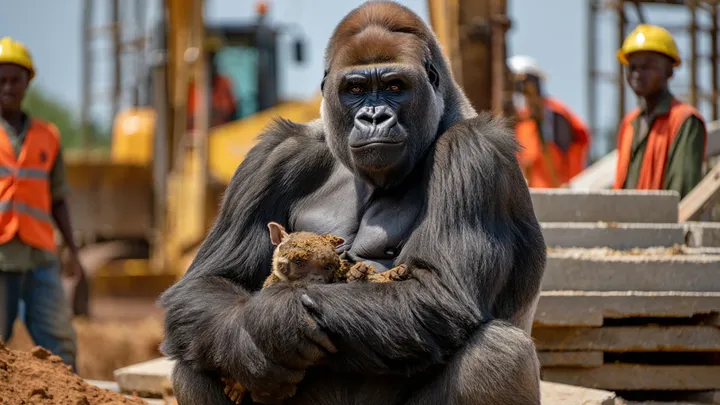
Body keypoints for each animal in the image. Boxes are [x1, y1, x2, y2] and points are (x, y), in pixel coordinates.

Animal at [159, 2, 545, 405]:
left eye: (394, 86)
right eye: (356, 89)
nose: (374, 117)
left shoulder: (473, 150)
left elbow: (439, 292)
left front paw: (279, 320)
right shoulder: (273, 156)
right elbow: (209, 282)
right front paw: (262, 336)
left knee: (498, 351)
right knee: (198, 351)